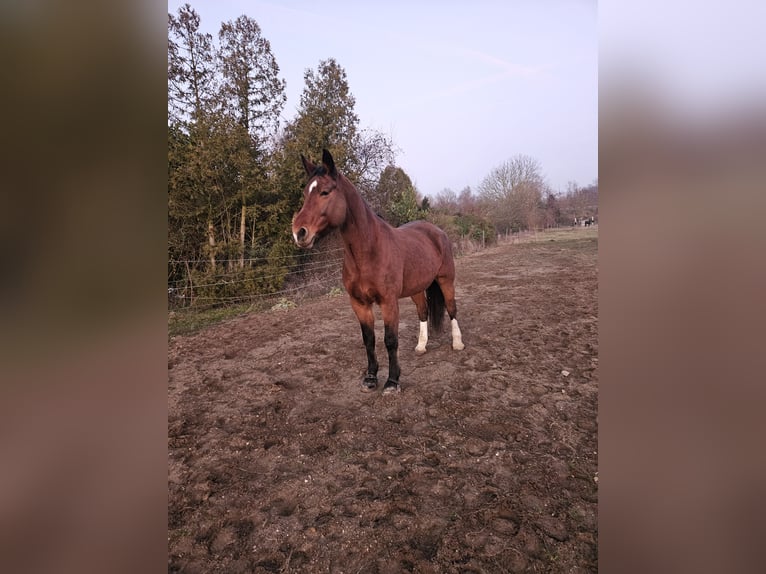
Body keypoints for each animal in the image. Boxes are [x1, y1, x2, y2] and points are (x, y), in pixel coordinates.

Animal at [292, 150, 464, 396]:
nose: (299, 232)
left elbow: (390, 340)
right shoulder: (359, 303)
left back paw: (457, 343)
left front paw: (392, 382)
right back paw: (421, 346)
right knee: (423, 312)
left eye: (325, 192)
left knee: (451, 308)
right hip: (417, 288)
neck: (368, 253)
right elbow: (369, 339)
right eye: (306, 193)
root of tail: (436, 231)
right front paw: (371, 378)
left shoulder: (388, 302)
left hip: (445, 280)